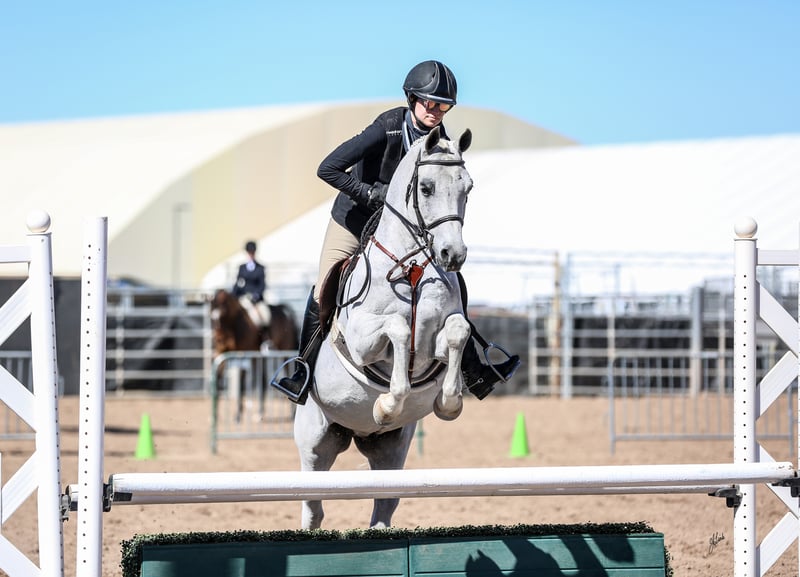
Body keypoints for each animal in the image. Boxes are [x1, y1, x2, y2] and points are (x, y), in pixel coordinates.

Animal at [293, 126, 473, 529]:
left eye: (467, 187)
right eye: (426, 188)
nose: (452, 256)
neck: (413, 268)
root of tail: (355, 433)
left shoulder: (438, 342)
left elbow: (458, 331)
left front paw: (449, 403)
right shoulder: (362, 340)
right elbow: (398, 328)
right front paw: (387, 405)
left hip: (391, 451)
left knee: (384, 504)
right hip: (314, 444)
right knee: (313, 506)